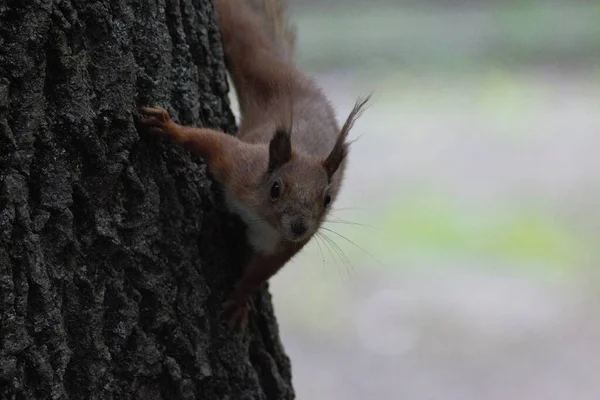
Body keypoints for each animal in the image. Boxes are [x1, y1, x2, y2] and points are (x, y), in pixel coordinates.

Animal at [138, 0, 368, 326]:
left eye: (327, 199)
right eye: (275, 188)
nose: (299, 227)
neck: (261, 215)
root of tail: (298, 77)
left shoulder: (283, 245)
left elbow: (262, 270)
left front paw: (240, 297)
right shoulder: (240, 167)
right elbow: (210, 141)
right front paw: (170, 128)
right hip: (254, 57)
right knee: (241, 27)